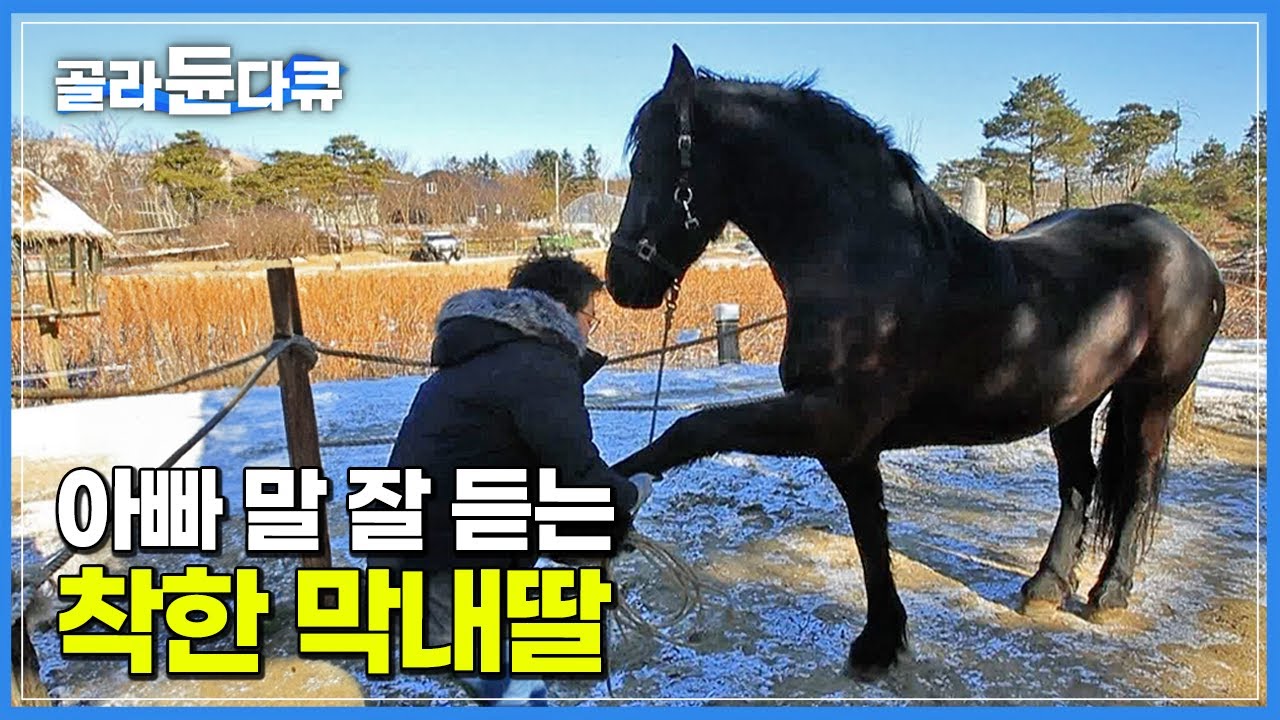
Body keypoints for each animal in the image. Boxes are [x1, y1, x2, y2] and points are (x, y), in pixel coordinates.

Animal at [605, 45, 1226, 675]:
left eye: (648, 165)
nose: (620, 278)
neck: (869, 265)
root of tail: (1193, 252)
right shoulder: (847, 444)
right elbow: (868, 529)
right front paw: (884, 637)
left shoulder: (834, 422)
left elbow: (696, 429)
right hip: (1073, 404)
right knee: (1079, 481)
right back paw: (1046, 585)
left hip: (1151, 399)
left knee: (1138, 484)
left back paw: (1110, 591)